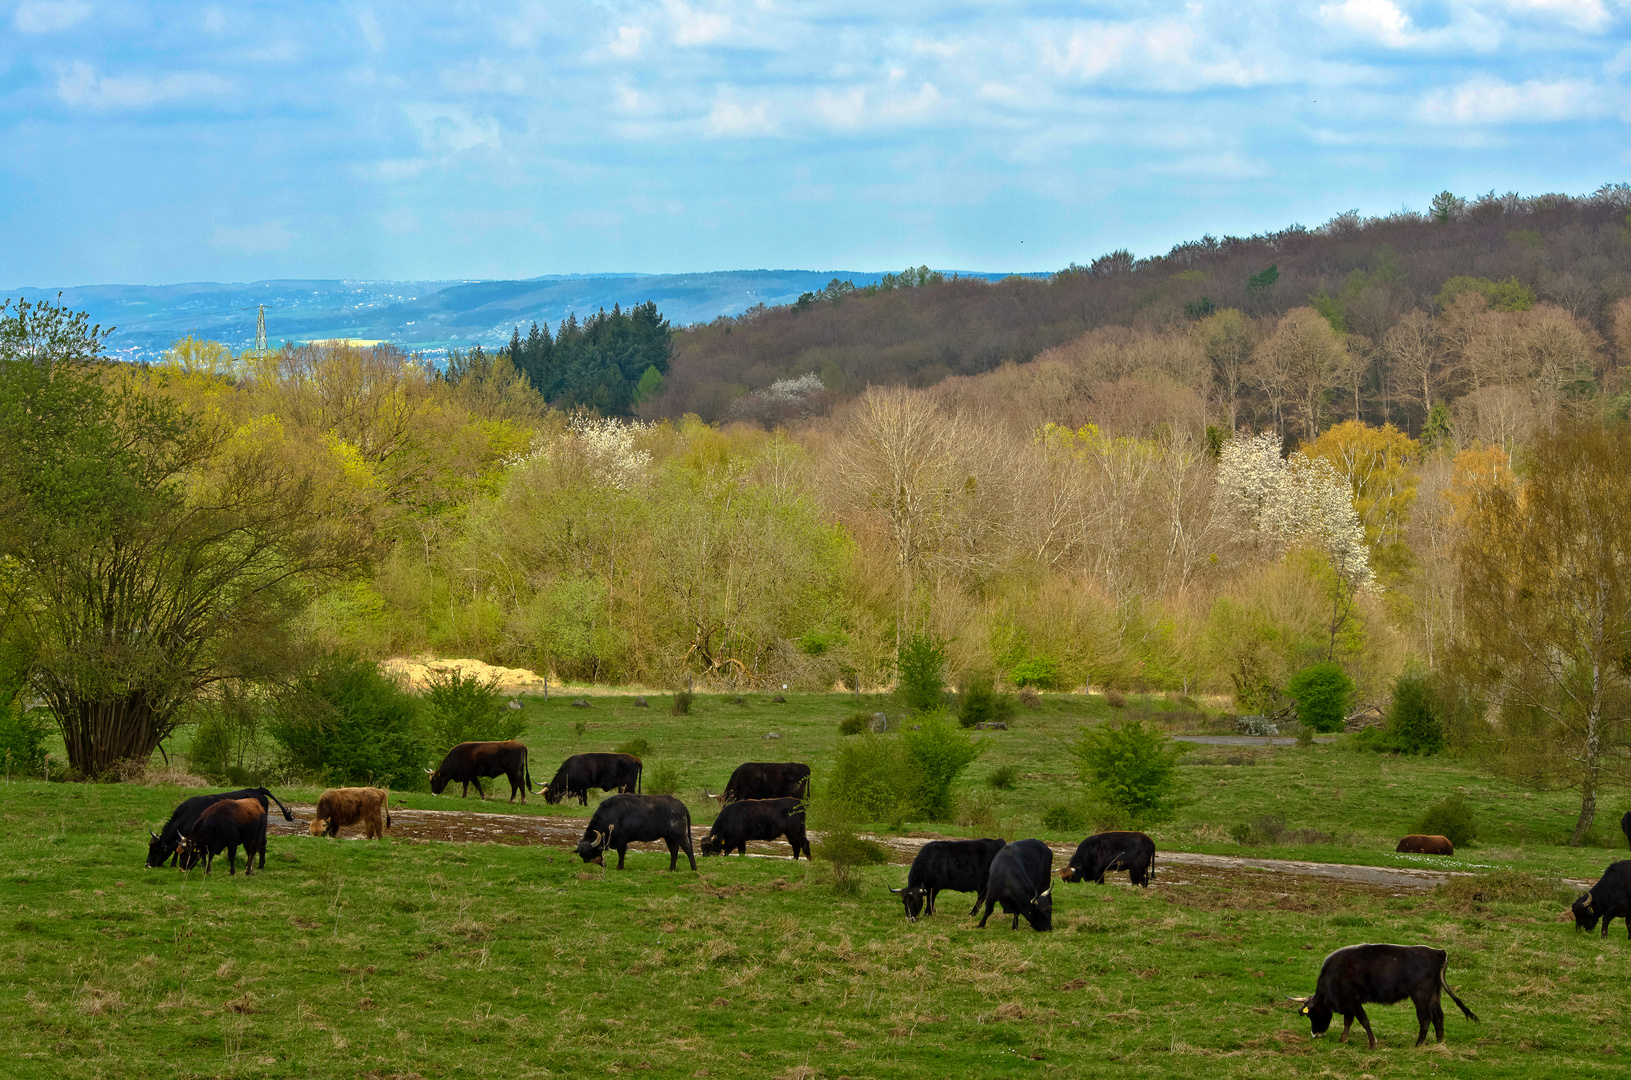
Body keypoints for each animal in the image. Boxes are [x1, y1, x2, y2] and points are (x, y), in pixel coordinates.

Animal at [146, 792, 293, 874]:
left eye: (155, 849)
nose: (147, 865)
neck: (188, 815)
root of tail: (258, 790)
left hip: (260, 832)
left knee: (261, 845)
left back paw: (261, 866)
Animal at [1291, 946, 1487, 1050]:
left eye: (1312, 1014)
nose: (1315, 1034)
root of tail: (1438, 952)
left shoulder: (1353, 1001)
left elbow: (1363, 1020)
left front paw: (1372, 1044)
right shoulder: (1350, 1003)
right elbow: (1349, 1021)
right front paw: (1343, 1039)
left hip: (1421, 995)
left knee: (1425, 1018)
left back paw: (1418, 1045)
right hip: (1433, 995)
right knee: (1438, 1017)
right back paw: (1439, 1044)